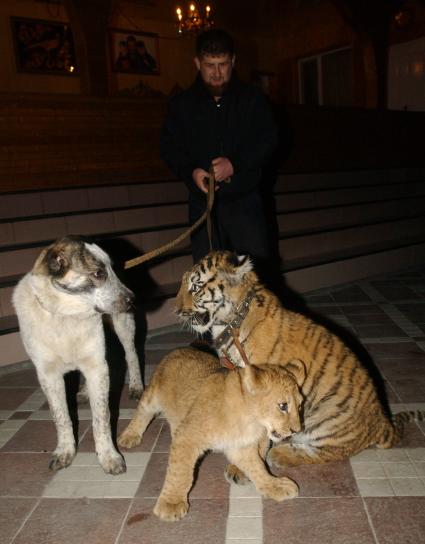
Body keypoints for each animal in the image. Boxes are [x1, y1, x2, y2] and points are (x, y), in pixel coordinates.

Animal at [13, 236, 143, 474]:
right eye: (99, 273)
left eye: (112, 270)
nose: (132, 299)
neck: (65, 316)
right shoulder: (48, 375)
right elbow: (61, 417)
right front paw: (64, 451)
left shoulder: (98, 368)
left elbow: (101, 417)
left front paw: (109, 457)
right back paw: (83, 392)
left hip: (124, 326)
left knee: (132, 355)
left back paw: (136, 386)